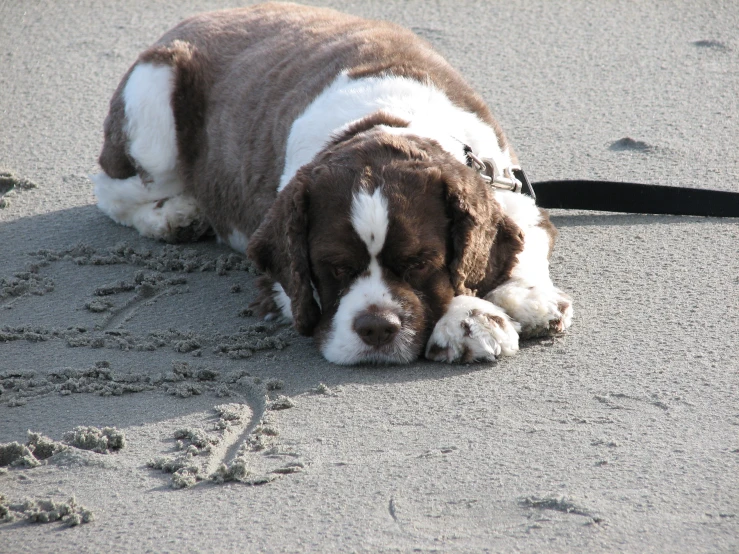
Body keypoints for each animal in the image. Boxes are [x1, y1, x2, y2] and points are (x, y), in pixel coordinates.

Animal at [92, 2, 576, 364]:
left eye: (419, 263)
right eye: (335, 268)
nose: (376, 328)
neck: (386, 119)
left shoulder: (509, 190)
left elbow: (517, 245)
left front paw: (523, 300)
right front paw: (469, 320)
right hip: (153, 111)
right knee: (112, 189)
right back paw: (177, 215)